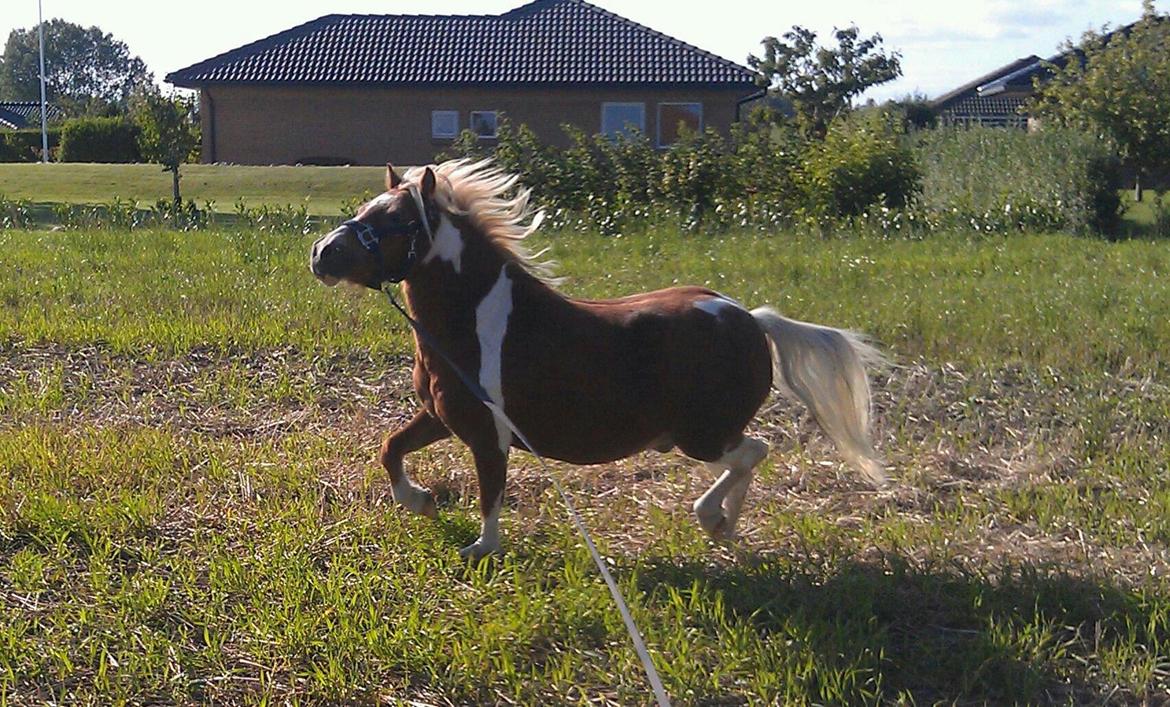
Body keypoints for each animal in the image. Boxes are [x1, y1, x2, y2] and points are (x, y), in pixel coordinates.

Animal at [311, 160, 884, 557]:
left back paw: (713, 518)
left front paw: (480, 548)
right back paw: (722, 525)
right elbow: (390, 448)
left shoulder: (488, 434)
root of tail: (751, 319)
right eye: (364, 210)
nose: (321, 253)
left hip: (700, 435)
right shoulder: (442, 416)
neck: (474, 323)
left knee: (754, 451)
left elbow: (491, 494)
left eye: (398, 220)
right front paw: (421, 501)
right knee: (750, 455)